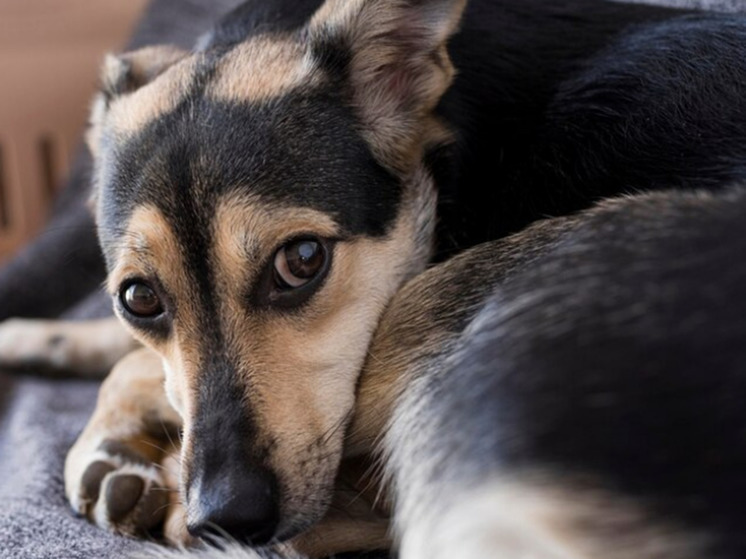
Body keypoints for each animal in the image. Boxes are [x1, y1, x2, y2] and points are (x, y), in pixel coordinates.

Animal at [1, 0, 744, 556]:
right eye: (139, 297)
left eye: (302, 260)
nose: (226, 516)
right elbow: (127, 352)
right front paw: (32, 340)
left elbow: (132, 367)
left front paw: (109, 443)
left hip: (457, 297)